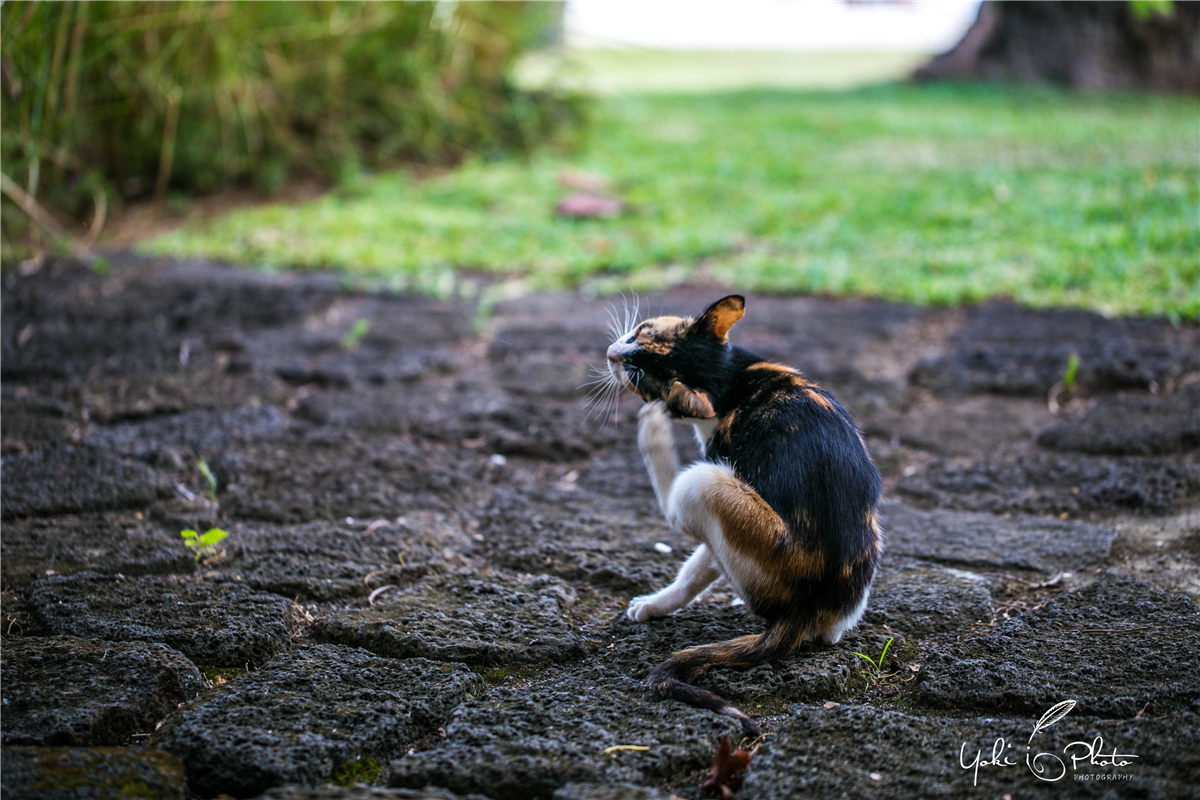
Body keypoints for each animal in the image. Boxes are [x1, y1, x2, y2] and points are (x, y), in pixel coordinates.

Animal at [609, 296, 883, 738]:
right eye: (639, 332)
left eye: (638, 376)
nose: (611, 354)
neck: (731, 382)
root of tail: (805, 610)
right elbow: (699, 568)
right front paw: (657, 605)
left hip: (707, 482)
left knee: (676, 504)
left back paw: (653, 432)